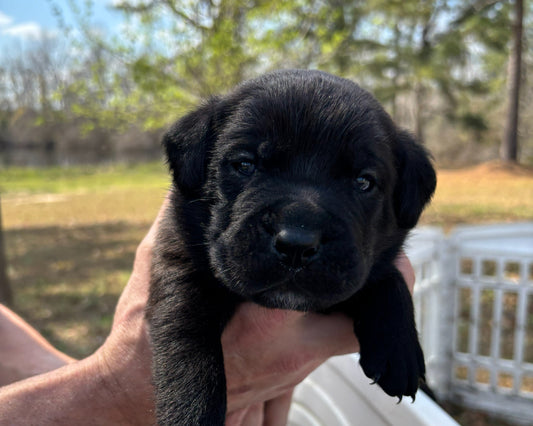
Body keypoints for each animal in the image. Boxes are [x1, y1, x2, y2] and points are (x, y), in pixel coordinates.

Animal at [146, 69, 436, 425]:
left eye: (363, 182)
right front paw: (191, 413)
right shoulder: (177, 259)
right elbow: (187, 337)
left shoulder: (352, 272)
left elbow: (387, 279)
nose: (297, 244)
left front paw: (398, 347)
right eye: (245, 165)